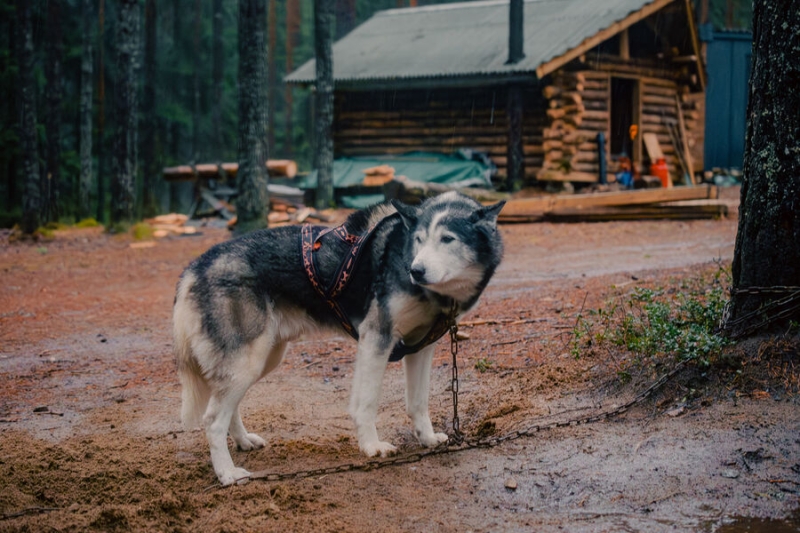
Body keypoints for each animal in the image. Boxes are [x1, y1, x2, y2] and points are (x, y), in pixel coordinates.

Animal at [174, 190, 504, 482]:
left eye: (447, 239)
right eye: (419, 240)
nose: (416, 270)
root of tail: (195, 266)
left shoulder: (421, 348)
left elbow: (418, 402)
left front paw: (427, 438)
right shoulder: (377, 338)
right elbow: (367, 403)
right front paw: (371, 446)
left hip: (260, 361)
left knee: (229, 407)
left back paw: (243, 442)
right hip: (247, 361)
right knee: (212, 420)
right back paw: (227, 474)